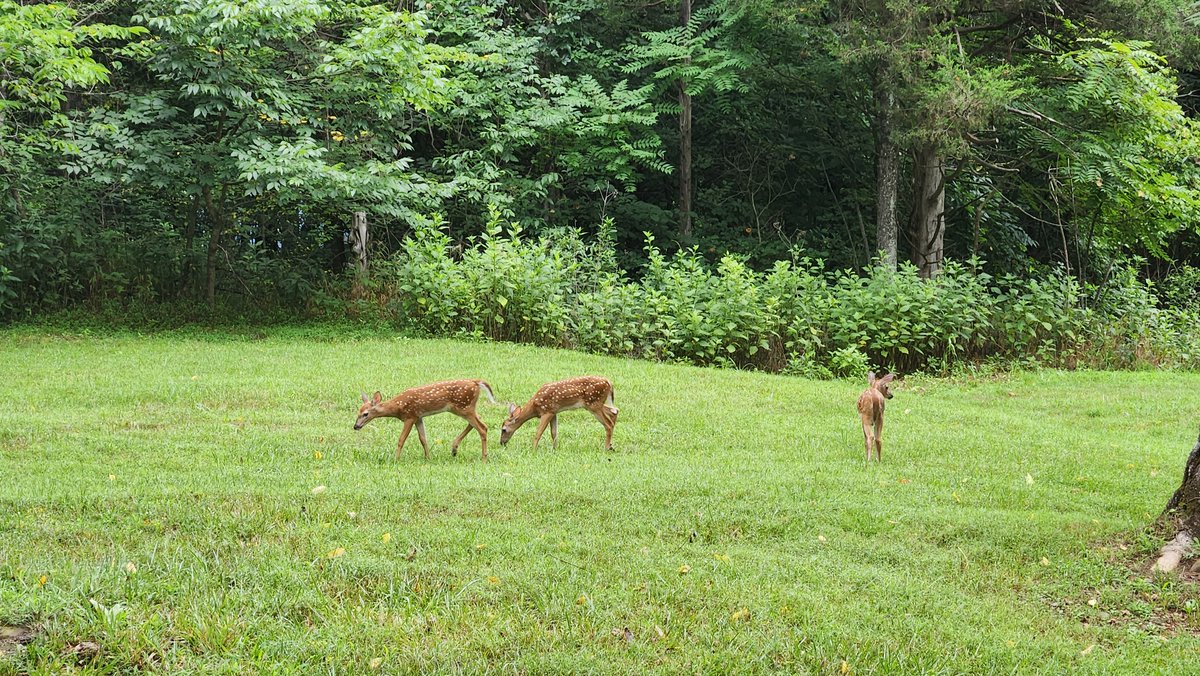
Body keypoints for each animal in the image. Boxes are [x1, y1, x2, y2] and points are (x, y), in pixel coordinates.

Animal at [354, 379, 497, 461]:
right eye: (358, 412)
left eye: (365, 414)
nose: (356, 426)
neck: (397, 407)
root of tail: (476, 382)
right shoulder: (419, 417)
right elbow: (423, 439)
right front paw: (428, 458)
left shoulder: (410, 416)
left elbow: (401, 439)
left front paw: (396, 459)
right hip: (464, 407)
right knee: (480, 421)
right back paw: (454, 449)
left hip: (463, 406)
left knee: (482, 427)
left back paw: (484, 458)